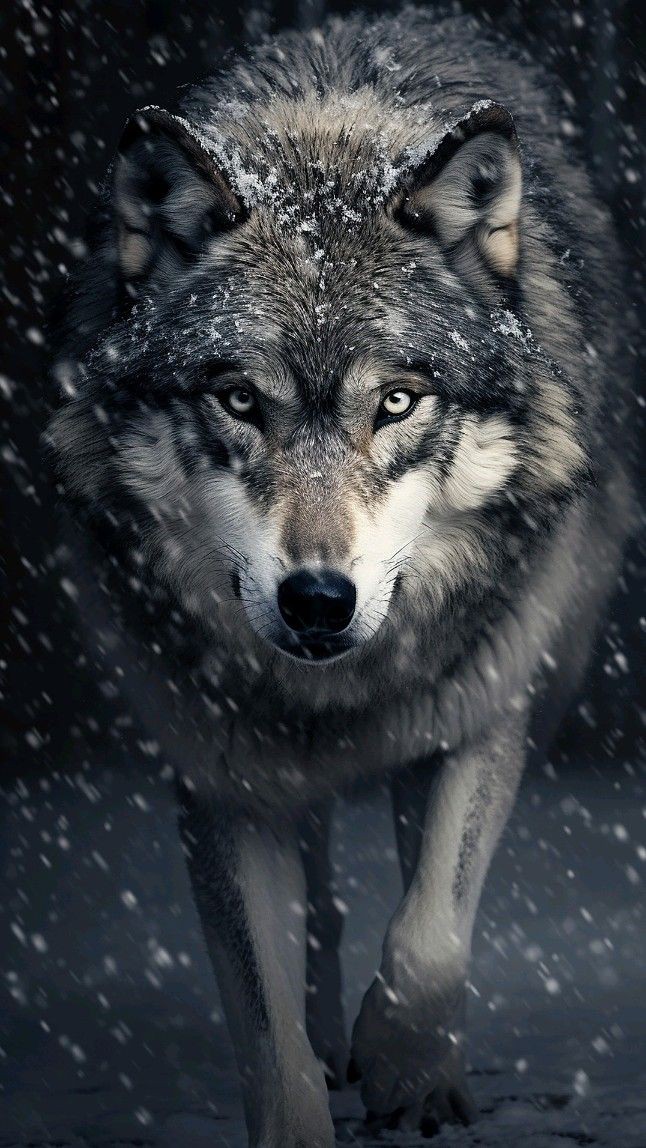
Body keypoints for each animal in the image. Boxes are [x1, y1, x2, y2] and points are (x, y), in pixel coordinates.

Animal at [46, 6, 636, 1145]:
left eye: (397, 402)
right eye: (238, 399)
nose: (317, 599)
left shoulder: (485, 713)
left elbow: (430, 935)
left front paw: (407, 1066)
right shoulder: (217, 776)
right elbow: (267, 1034)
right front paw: (317, 1072)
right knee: (319, 896)